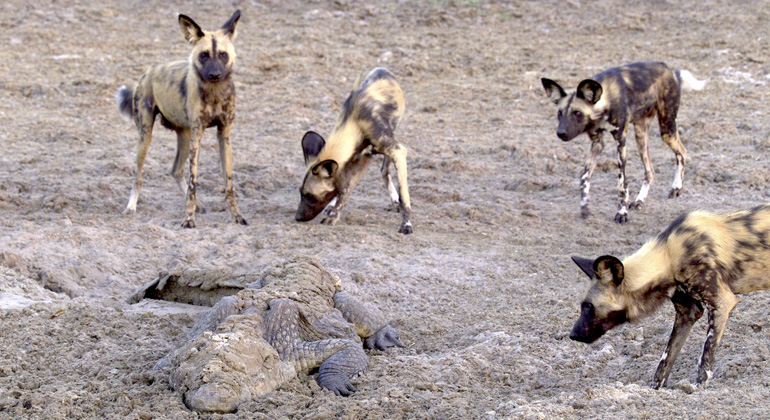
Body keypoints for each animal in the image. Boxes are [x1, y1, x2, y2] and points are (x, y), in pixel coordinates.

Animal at [115, 9, 246, 230]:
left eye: (223, 55)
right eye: (204, 55)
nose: (215, 74)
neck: (215, 93)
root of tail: (148, 71)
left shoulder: (224, 134)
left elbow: (228, 182)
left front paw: (236, 216)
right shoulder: (198, 135)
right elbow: (194, 182)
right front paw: (189, 219)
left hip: (185, 137)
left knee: (175, 170)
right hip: (146, 137)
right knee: (138, 176)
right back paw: (131, 207)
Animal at [296, 67, 414, 235]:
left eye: (310, 196)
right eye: (301, 193)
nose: (297, 217)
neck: (355, 124)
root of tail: (380, 68)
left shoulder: (397, 151)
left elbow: (404, 197)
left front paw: (406, 224)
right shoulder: (361, 160)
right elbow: (344, 190)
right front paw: (333, 215)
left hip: (393, 142)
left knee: (384, 170)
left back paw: (394, 199)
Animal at [540, 61, 704, 223]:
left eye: (577, 113)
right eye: (560, 113)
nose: (560, 133)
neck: (605, 102)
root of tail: (669, 70)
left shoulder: (621, 141)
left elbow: (621, 184)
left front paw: (622, 212)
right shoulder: (597, 143)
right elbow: (584, 178)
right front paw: (585, 207)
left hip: (666, 129)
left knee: (682, 152)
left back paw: (676, 188)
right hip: (641, 136)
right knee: (650, 171)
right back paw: (639, 200)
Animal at [568, 203, 768, 388]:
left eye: (589, 306)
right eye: (583, 305)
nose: (572, 335)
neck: (668, 256)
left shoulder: (721, 303)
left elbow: (705, 359)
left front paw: (697, 389)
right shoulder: (687, 313)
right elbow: (665, 360)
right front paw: (655, 390)